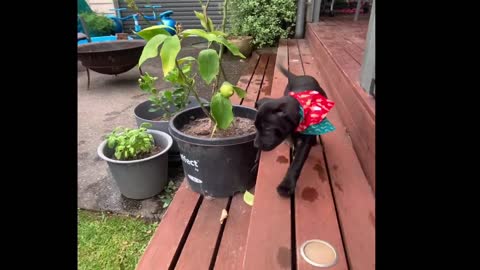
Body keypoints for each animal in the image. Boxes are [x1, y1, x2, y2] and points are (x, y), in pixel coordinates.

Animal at [253, 65, 332, 196]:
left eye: (267, 128)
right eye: (256, 127)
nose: (256, 145)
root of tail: (297, 76)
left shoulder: (304, 142)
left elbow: (297, 163)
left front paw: (286, 185)